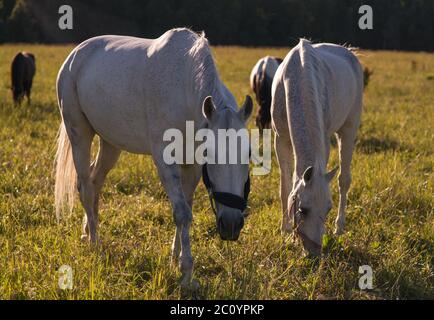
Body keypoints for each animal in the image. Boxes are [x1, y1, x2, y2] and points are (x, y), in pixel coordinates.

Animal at [55, 28, 251, 290]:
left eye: (248, 153)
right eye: (212, 154)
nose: (231, 225)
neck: (185, 92)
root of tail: (74, 56)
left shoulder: (192, 165)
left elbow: (186, 209)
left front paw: (175, 258)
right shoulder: (165, 161)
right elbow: (182, 213)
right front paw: (186, 272)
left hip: (110, 144)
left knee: (95, 183)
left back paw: (88, 231)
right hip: (80, 134)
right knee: (85, 187)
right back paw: (95, 244)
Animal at [272, 38, 362, 256]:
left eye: (327, 208)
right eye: (303, 210)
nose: (314, 253)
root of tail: (349, 53)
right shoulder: (280, 139)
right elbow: (285, 186)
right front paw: (285, 231)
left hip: (349, 129)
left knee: (343, 180)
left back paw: (339, 227)